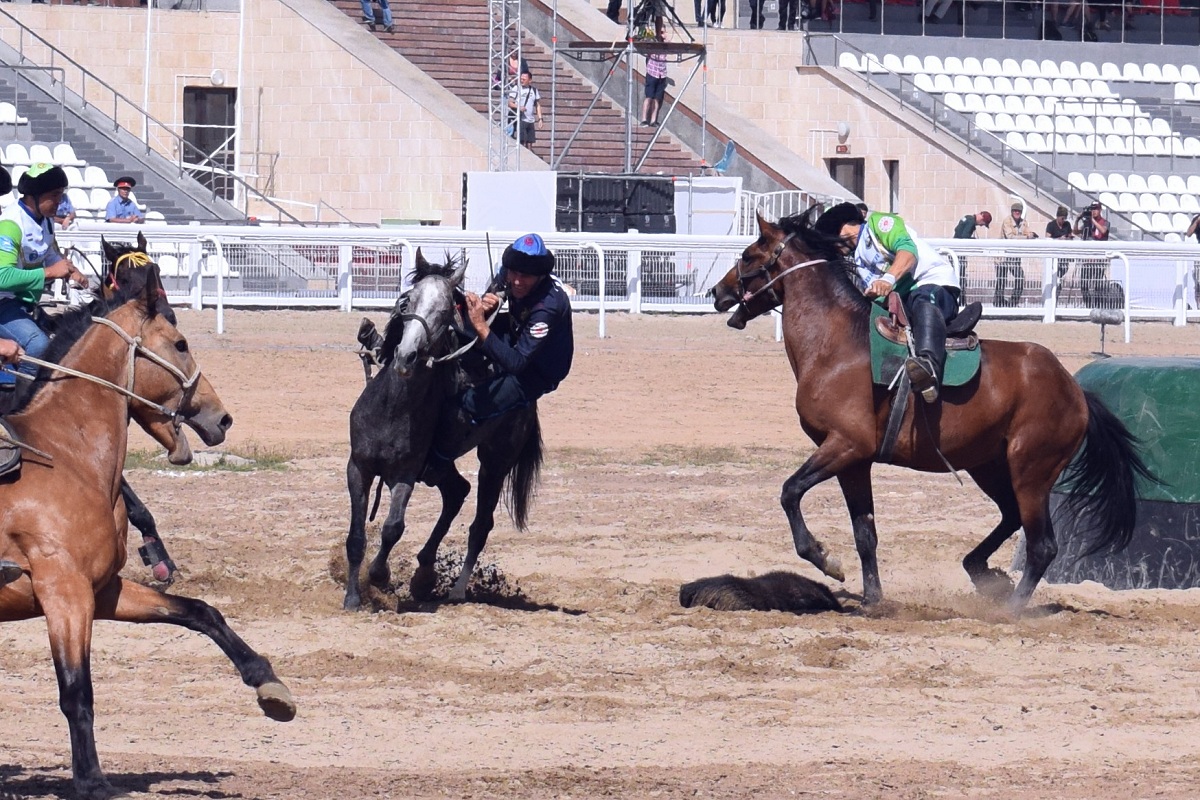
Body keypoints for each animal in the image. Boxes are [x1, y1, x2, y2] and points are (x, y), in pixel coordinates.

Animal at [0, 271, 295, 800]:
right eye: (179, 344)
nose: (221, 417)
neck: (63, 456)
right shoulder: (64, 592)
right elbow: (76, 691)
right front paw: (91, 780)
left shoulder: (102, 590)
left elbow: (200, 612)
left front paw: (267, 682)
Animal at [340, 247, 542, 609]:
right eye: (407, 300)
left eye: (446, 309)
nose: (406, 355)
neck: (392, 408)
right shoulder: (358, 467)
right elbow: (356, 536)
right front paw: (352, 598)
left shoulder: (405, 474)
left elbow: (392, 528)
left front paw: (379, 576)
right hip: (441, 464)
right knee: (457, 491)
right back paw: (424, 574)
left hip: (495, 462)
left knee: (480, 524)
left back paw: (453, 589)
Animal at [710, 211, 1152, 614]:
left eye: (748, 255)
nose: (717, 292)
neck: (837, 345)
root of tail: (1074, 390)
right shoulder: (855, 461)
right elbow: (865, 533)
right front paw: (873, 599)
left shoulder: (844, 446)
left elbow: (790, 492)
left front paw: (826, 560)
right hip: (989, 465)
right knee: (1010, 517)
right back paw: (981, 571)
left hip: (1031, 470)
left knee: (1042, 545)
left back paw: (1009, 609)